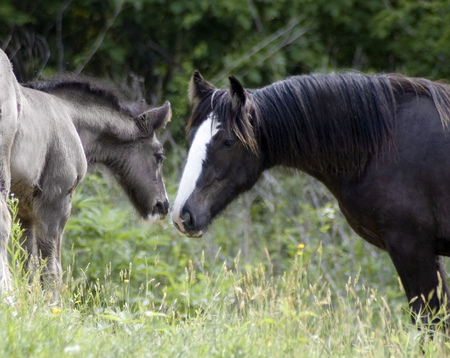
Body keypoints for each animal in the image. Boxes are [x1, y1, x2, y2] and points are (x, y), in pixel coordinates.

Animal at [0, 49, 171, 296]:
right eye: (159, 155)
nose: (163, 205)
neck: (70, 116)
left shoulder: (24, 209)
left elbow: (27, 264)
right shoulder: (56, 199)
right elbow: (52, 267)